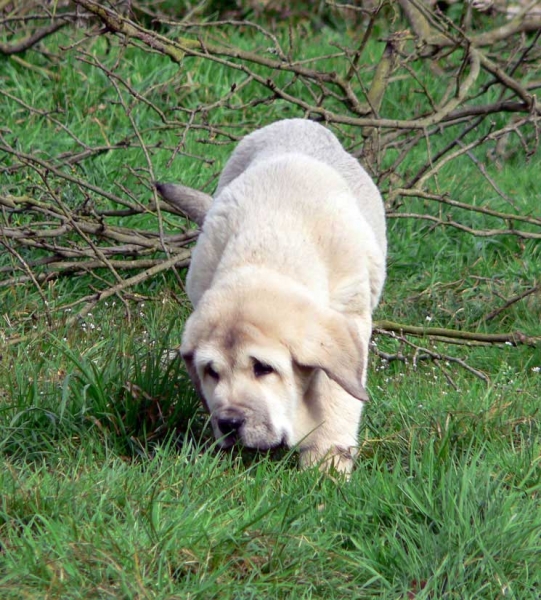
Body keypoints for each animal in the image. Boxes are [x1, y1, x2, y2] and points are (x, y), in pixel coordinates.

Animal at [154, 118, 386, 474]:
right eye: (211, 372)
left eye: (263, 368)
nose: (229, 423)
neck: (269, 248)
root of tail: (297, 121)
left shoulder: (349, 317)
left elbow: (336, 394)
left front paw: (328, 463)